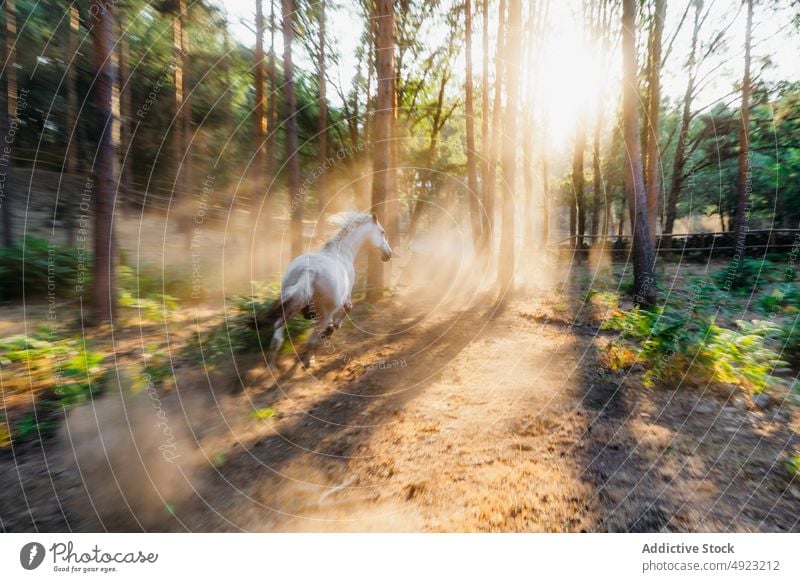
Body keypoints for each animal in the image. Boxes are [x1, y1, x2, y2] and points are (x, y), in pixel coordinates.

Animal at [260, 212, 392, 368]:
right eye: (382, 232)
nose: (388, 254)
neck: (342, 252)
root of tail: (309, 271)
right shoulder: (346, 297)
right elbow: (348, 308)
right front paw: (334, 327)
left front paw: (330, 328)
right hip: (322, 314)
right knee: (310, 341)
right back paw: (309, 361)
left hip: (288, 308)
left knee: (277, 340)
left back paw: (272, 367)